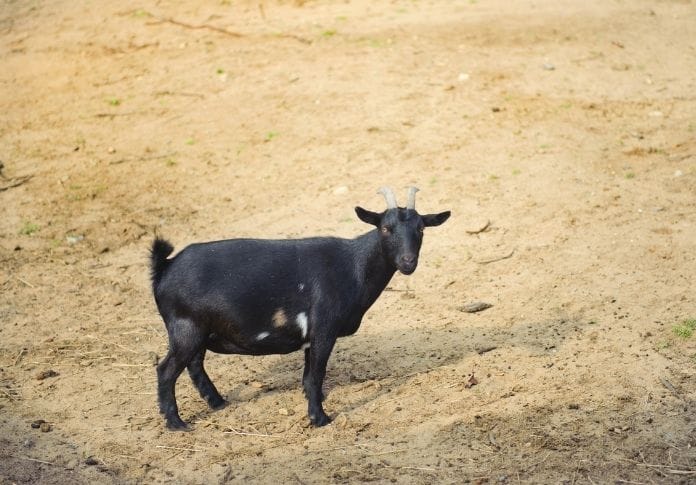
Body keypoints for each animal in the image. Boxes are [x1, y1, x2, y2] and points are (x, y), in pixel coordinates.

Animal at [150, 187, 450, 430]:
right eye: (385, 228)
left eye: (421, 229)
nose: (408, 262)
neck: (353, 266)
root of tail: (164, 267)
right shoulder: (324, 329)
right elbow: (316, 375)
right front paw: (320, 419)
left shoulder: (311, 336)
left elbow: (307, 377)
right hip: (186, 327)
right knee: (167, 370)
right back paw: (176, 423)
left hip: (198, 330)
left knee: (194, 365)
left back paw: (217, 402)